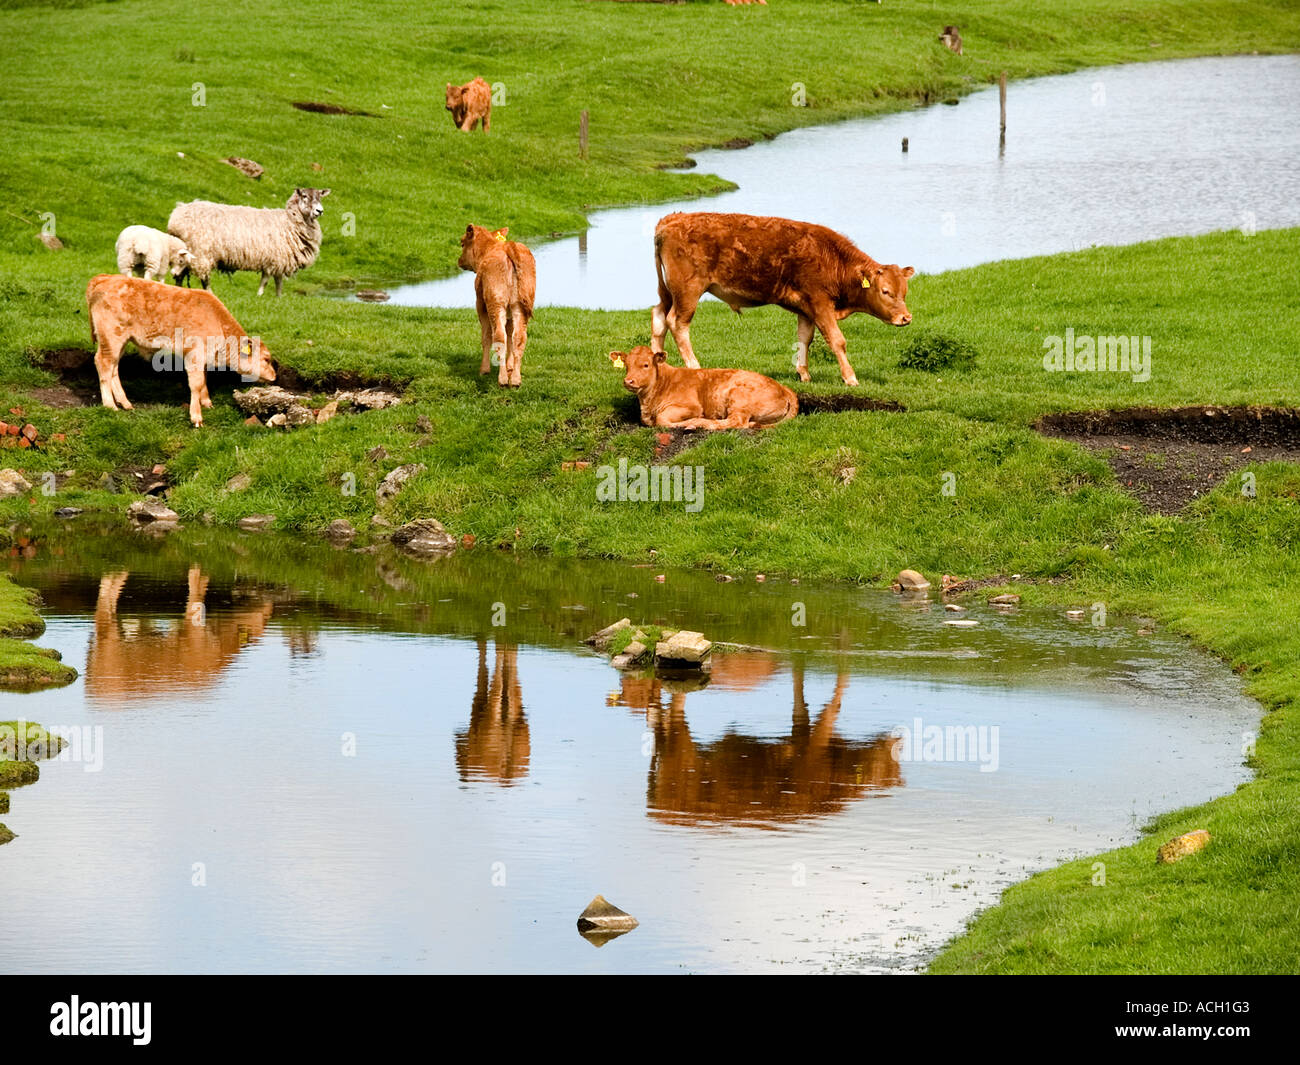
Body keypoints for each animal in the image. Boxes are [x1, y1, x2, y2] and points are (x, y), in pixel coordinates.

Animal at [166, 187, 331, 296]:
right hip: (202, 252)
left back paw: (179, 290)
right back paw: (210, 294)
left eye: (320, 197)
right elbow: (265, 280)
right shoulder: (273, 259)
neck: (289, 220)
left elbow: (279, 283)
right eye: (304, 196)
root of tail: (176, 215)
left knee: (180, 275)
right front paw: (259, 296)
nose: (320, 211)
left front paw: (278, 298)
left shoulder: (281, 260)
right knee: (203, 278)